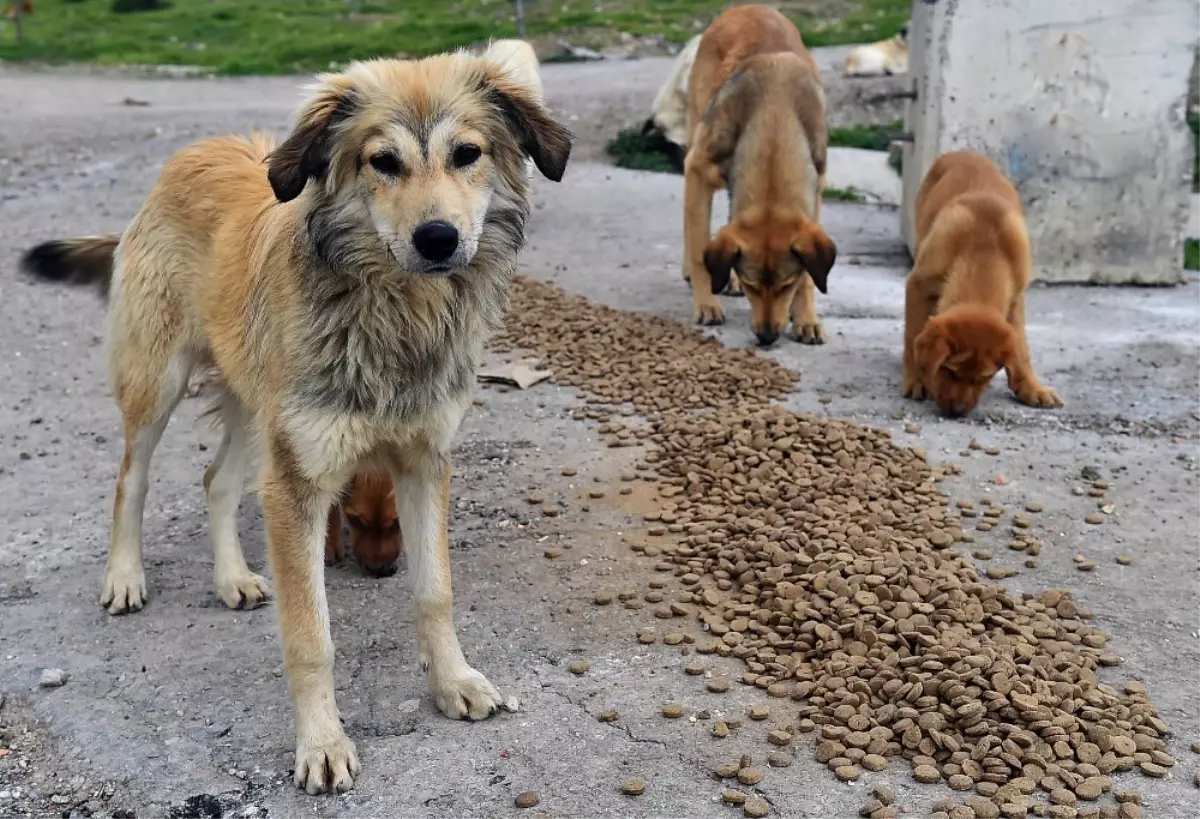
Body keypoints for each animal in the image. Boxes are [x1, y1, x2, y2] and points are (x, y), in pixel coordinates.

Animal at [18, 52, 571, 792]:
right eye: (383, 161)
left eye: (468, 154)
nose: (438, 239)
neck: (395, 314)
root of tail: (191, 153)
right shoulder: (298, 485)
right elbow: (312, 636)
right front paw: (322, 742)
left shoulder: (422, 463)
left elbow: (434, 592)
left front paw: (453, 681)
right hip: (159, 380)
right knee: (131, 478)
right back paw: (125, 577)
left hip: (255, 405)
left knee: (217, 479)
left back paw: (231, 578)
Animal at [681, 2, 840, 343]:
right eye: (752, 284)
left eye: (786, 284)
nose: (767, 337)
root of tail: (749, 7)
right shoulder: (698, 171)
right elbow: (700, 249)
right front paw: (706, 302)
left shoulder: (816, 189)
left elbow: (810, 276)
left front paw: (805, 317)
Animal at [902, 150, 1065, 415]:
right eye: (948, 369)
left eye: (984, 378)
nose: (956, 412)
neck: (984, 251)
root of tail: (962, 152)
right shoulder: (918, 284)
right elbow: (912, 334)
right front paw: (915, 378)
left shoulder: (1016, 298)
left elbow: (1022, 350)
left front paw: (1032, 387)